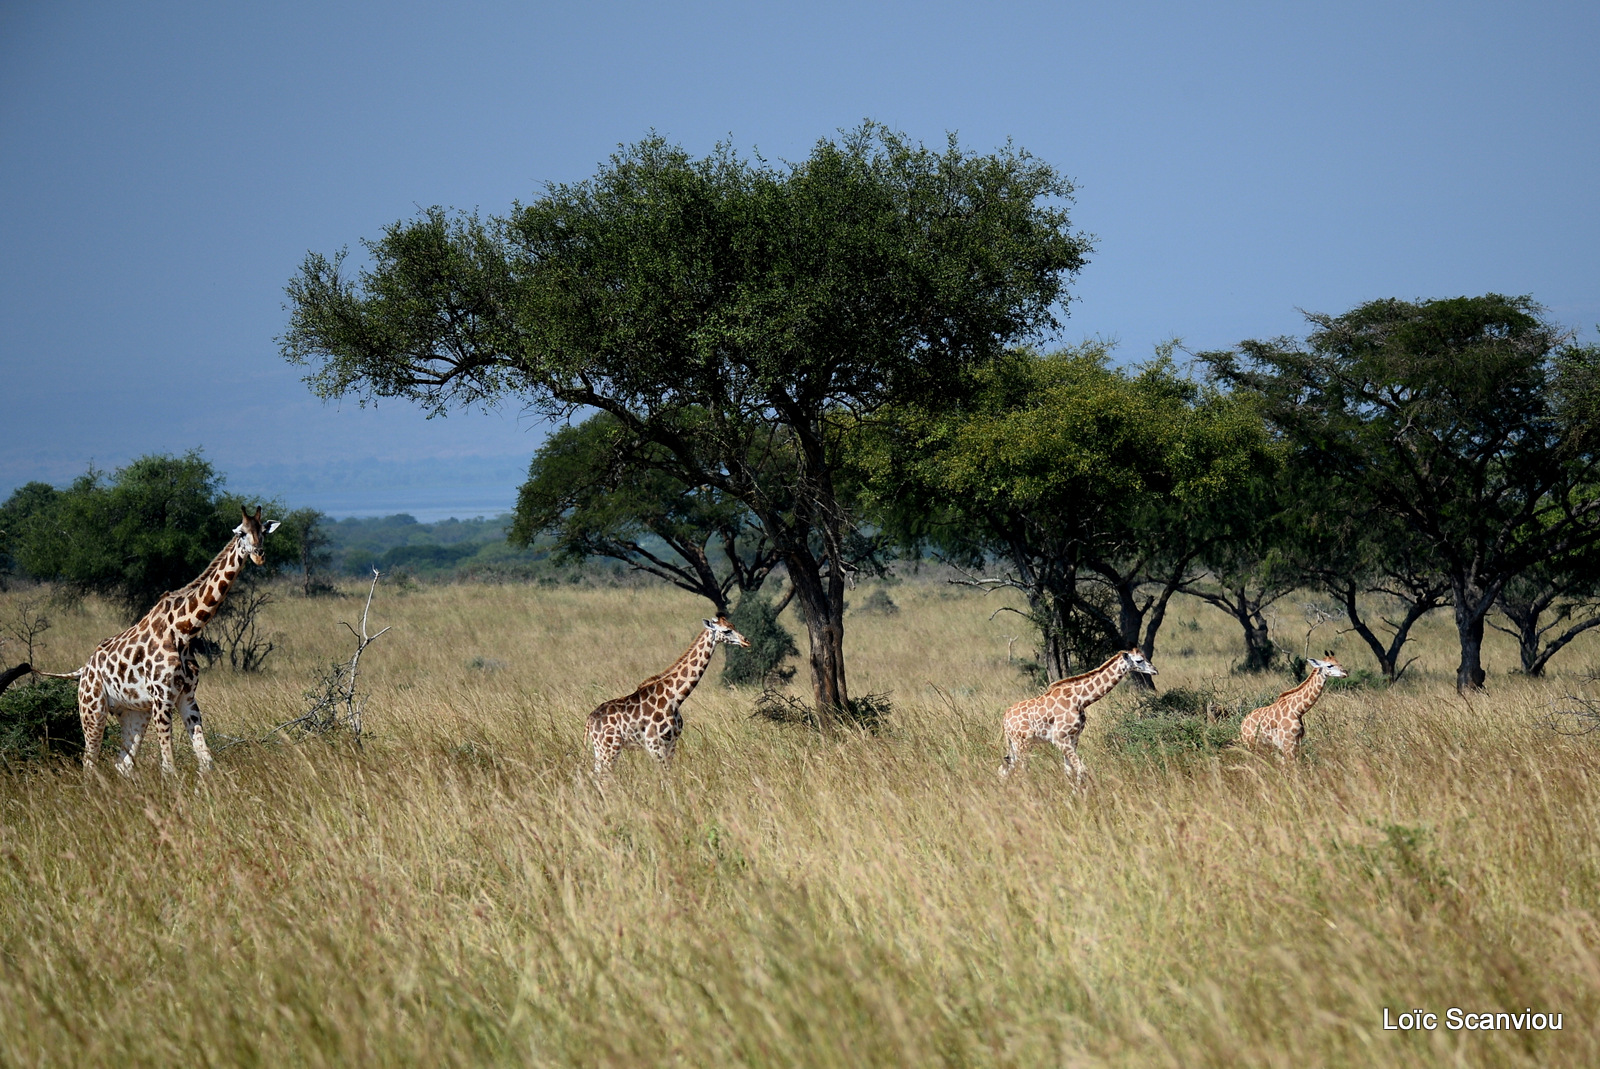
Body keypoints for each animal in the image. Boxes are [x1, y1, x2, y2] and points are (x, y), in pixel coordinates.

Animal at [37, 505, 281, 771]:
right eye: (241, 533)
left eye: (263, 532)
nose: (259, 556)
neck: (184, 631)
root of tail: (84, 668)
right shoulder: (162, 699)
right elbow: (169, 766)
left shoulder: (187, 697)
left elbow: (205, 761)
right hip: (92, 709)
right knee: (89, 763)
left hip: (134, 712)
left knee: (122, 764)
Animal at [592, 617, 752, 777]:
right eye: (726, 631)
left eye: (733, 625)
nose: (746, 641)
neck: (675, 698)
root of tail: (589, 721)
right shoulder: (655, 744)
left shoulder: (672, 743)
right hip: (610, 748)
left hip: (601, 750)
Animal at [992, 643, 1158, 784]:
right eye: (1139, 660)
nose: (1154, 670)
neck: (1080, 699)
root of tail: (1004, 719)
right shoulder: (1060, 738)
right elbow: (1081, 769)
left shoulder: (1073, 738)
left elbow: (1070, 771)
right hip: (1022, 743)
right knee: (1022, 771)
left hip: (1016, 744)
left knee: (1004, 770)